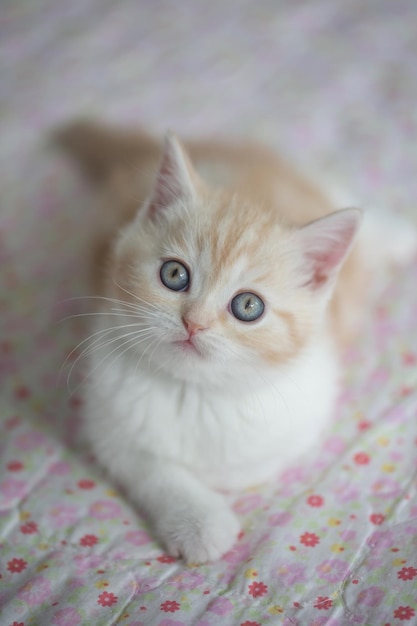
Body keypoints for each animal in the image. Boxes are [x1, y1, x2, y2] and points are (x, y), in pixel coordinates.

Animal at [57, 119, 414, 560]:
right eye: (174, 274)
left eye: (248, 306)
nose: (194, 323)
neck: (197, 394)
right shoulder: (108, 422)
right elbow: (153, 469)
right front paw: (199, 522)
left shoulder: (303, 414)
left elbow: (247, 467)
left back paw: (398, 233)